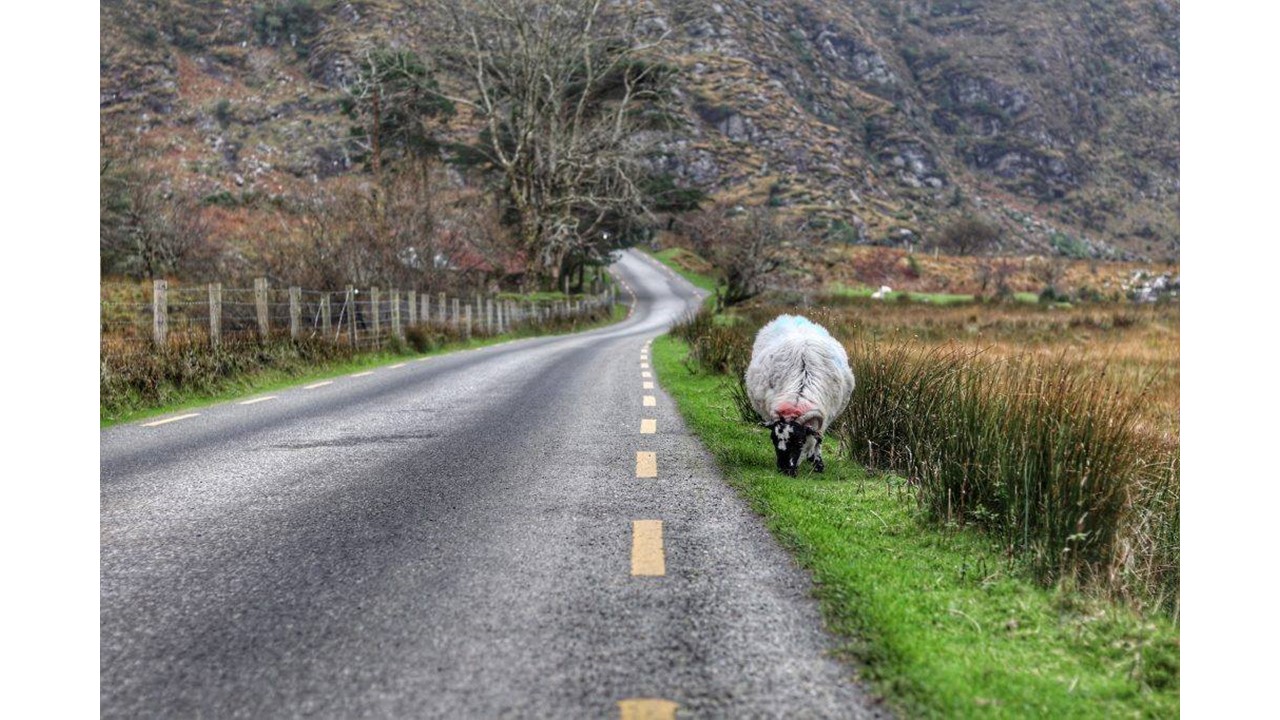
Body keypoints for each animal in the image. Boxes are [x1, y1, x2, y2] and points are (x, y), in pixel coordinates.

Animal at [747, 315, 855, 476]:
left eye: (799, 441)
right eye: (773, 439)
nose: (785, 470)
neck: (798, 396)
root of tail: (792, 317)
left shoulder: (825, 417)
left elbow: (817, 440)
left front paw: (818, 464)